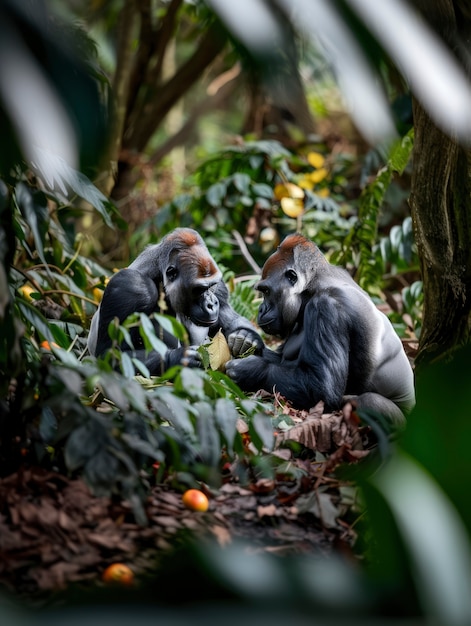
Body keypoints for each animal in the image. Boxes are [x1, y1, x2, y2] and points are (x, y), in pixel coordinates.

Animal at [88, 227, 264, 372]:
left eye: (211, 286)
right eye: (200, 289)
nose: (211, 304)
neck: (159, 275)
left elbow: (228, 322)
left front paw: (246, 338)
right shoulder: (130, 286)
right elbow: (110, 354)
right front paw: (177, 358)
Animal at [227, 232, 414, 426]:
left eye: (266, 291)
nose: (261, 309)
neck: (313, 285)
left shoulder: (326, 306)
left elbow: (322, 388)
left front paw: (250, 370)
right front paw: (247, 340)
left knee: (370, 402)